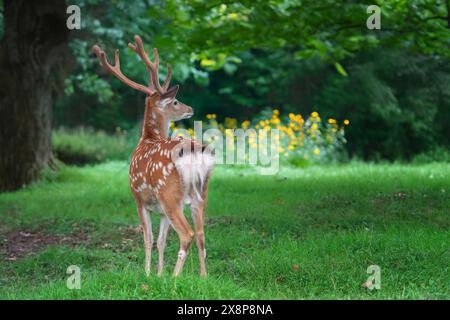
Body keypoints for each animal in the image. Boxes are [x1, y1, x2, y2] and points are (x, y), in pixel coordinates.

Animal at [92, 34, 214, 276]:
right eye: (175, 101)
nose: (191, 109)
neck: (147, 138)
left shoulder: (138, 198)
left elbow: (147, 239)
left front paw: (148, 274)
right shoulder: (159, 211)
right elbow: (161, 241)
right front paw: (158, 274)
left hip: (169, 193)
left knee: (187, 234)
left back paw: (176, 278)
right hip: (200, 194)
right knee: (201, 235)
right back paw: (203, 277)